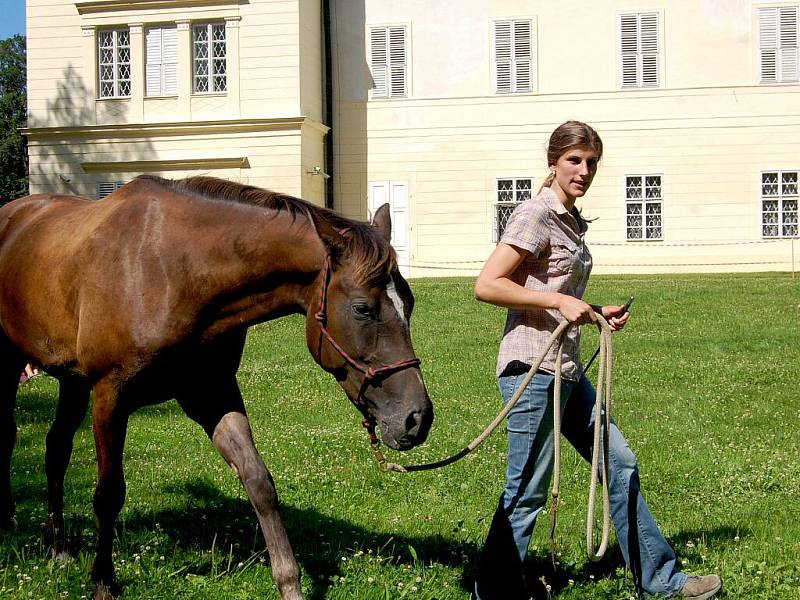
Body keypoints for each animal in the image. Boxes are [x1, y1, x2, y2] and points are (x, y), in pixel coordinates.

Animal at [0, 176, 434, 600]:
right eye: (362, 309)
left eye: (410, 302)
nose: (417, 418)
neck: (170, 271)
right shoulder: (110, 396)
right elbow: (108, 494)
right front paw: (103, 582)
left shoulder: (213, 393)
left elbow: (259, 482)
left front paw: (289, 583)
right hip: (13, 366)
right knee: (12, 437)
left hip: (71, 381)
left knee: (56, 449)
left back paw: (59, 548)